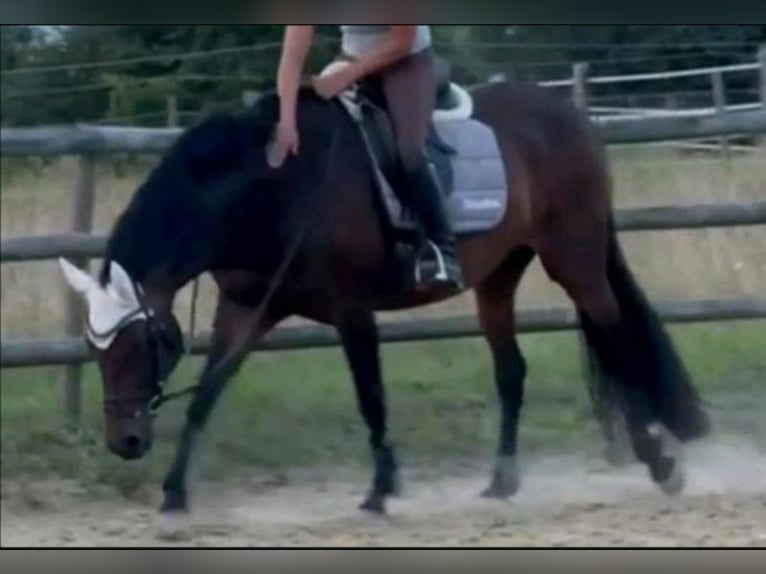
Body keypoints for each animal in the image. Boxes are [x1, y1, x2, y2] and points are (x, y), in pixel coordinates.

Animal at [58, 77, 712, 528]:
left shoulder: (351, 308)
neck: (271, 192)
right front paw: (174, 494)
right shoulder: (246, 308)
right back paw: (502, 482)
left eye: (137, 344)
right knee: (512, 370)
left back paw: (662, 462)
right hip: (499, 274)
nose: (124, 442)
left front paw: (380, 489)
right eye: (96, 347)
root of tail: (570, 116)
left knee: (615, 334)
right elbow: (208, 392)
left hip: (573, 259)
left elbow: (370, 395)